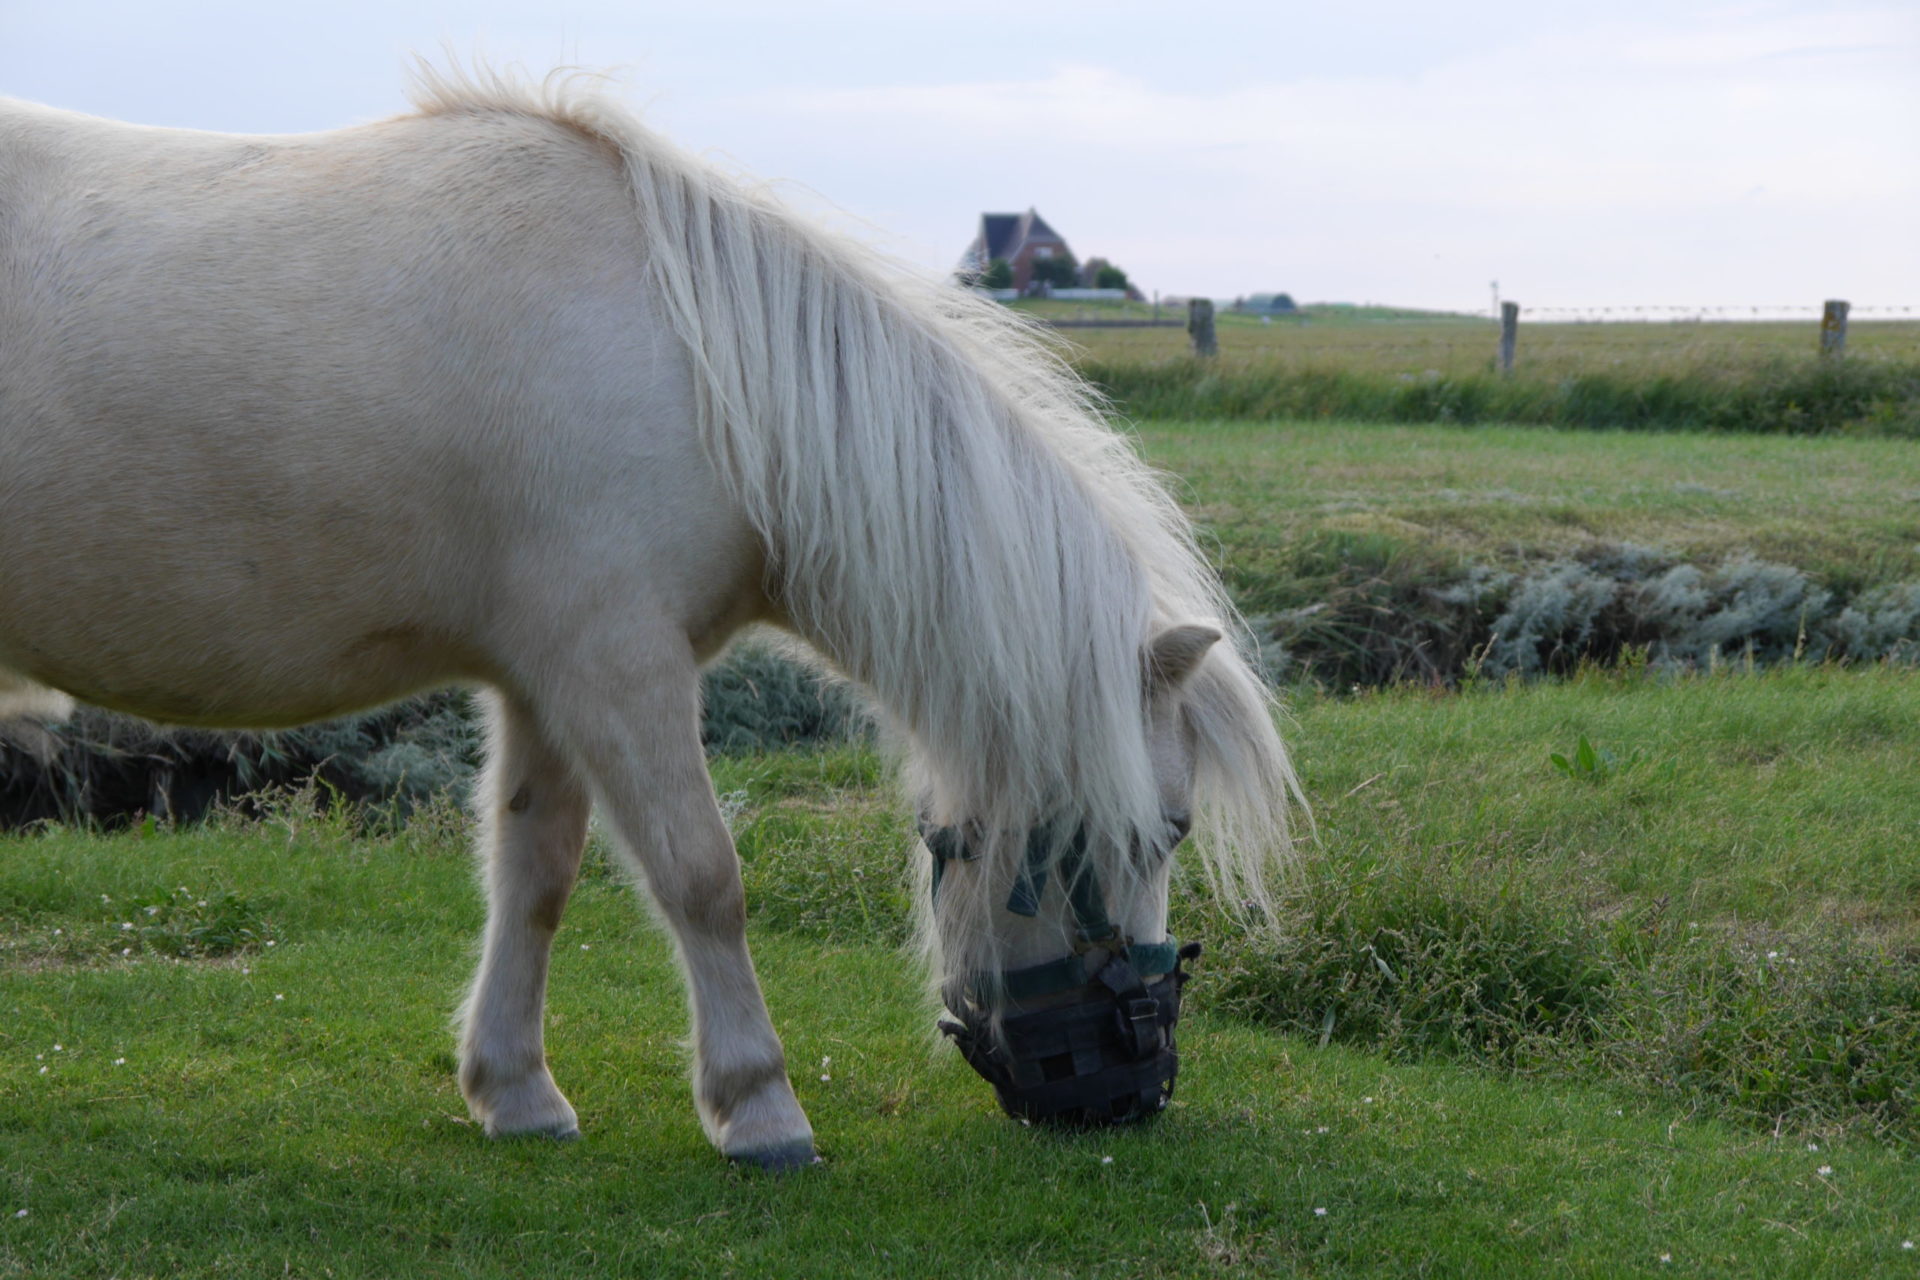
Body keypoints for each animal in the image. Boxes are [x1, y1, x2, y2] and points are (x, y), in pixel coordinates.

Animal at [0, 72, 1297, 1174]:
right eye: (1163, 828)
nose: (1127, 1089)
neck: (698, 374)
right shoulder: (616, 662)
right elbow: (701, 874)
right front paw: (758, 1106)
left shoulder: (547, 676)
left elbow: (534, 872)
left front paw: (515, 1090)